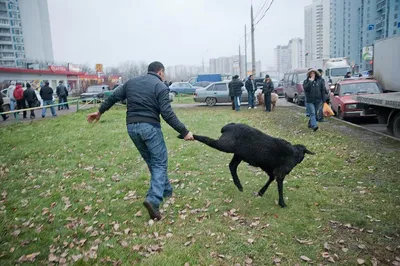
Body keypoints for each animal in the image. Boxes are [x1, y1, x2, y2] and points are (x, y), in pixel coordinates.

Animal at [180, 123, 314, 208]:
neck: (295, 153)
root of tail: (228, 127)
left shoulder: (271, 170)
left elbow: (270, 179)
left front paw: (260, 193)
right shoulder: (280, 172)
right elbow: (280, 187)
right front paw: (282, 203)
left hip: (238, 154)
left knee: (232, 166)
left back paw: (239, 186)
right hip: (226, 145)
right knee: (210, 141)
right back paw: (187, 135)